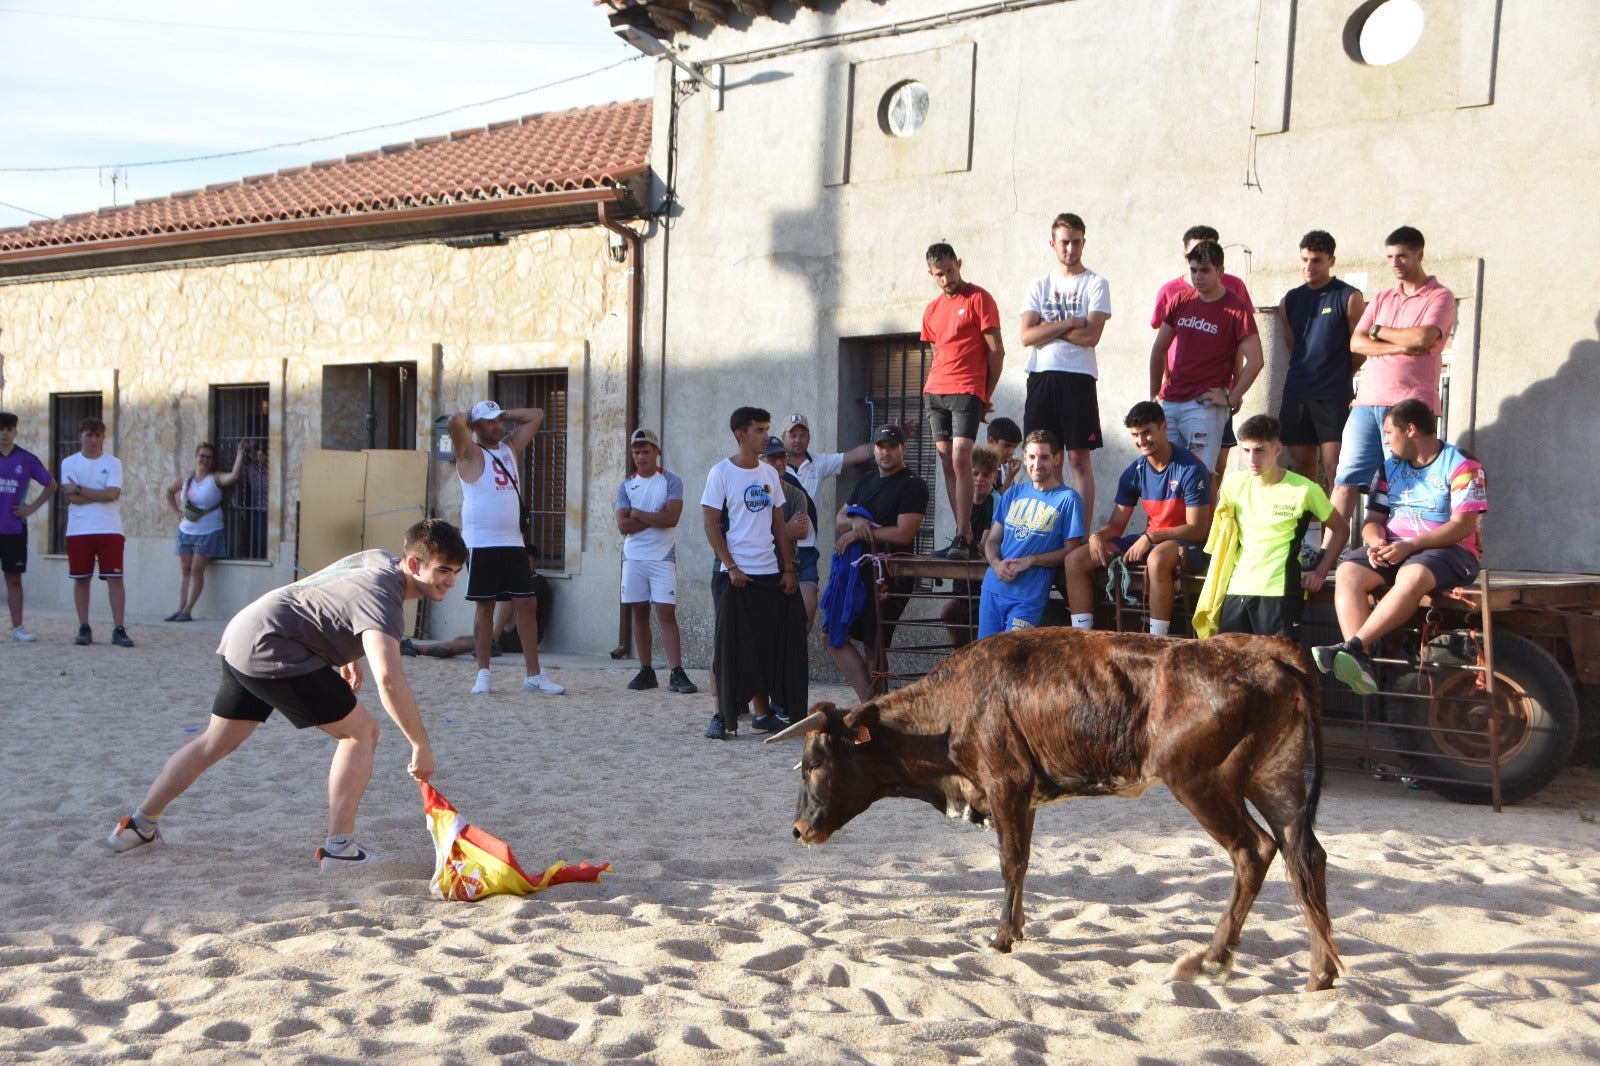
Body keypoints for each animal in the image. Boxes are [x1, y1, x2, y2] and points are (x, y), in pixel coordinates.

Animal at [768, 630, 1344, 985]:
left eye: (816, 761)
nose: (798, 830)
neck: (955, 708)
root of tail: (1267, 652)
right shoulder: (1022, 797)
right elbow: (1021, 863)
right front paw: (1017, 929)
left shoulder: (1006, 784)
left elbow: (1010, 862)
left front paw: (1002, 937)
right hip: (1274, 777)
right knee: (1305, 855)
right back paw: (1321, 971)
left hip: (1201, 781)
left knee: (1254, 850)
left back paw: (1212, 958)